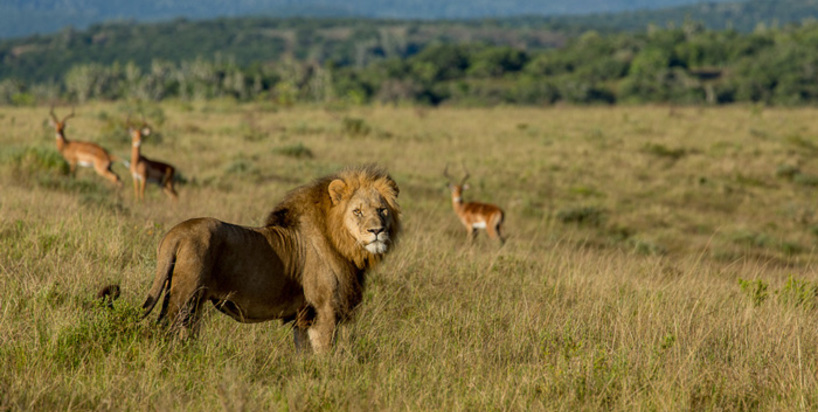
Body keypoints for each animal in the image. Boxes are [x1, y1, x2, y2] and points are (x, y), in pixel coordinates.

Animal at [141, 166, 402, 352]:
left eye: (382, 210)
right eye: (357, 212)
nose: (377, 231)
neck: (343, 243)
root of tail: (175, 234)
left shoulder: (303, 316)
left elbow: (303, 352)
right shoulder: (324, 309)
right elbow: (325, 353)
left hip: (192, 301)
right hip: (184, 298)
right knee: (170, 333)